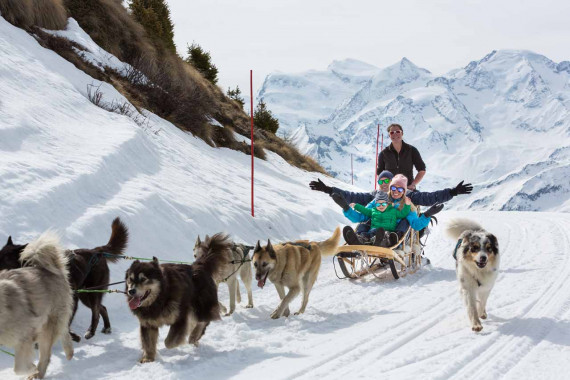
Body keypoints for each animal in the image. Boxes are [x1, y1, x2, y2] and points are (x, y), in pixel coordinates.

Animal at [0, 233, 74, 378]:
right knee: (64, 330)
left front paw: (32, 369)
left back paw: (38, 374)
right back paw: (69, 352)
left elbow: (19, 368)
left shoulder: (26, 336)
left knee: (46, 356)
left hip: (47, 327)